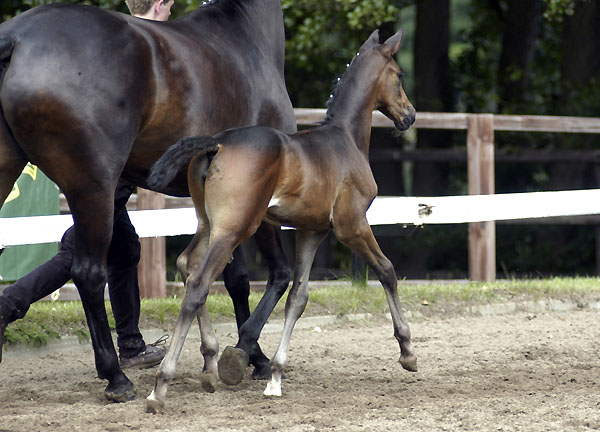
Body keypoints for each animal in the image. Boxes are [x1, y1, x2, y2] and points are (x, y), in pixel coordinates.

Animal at [0, 0, 296, 402]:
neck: (245, 39)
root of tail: (16, 37)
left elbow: (231, 278)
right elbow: (276, 274)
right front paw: (253, 356)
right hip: (93, 189)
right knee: (89, 274)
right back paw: (115, 378)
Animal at [145, 28, 418, 410]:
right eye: (399, 75)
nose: (410, 115)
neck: (345, 139)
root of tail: (217, 143)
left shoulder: (311, 231)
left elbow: (297, 298)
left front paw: (275, 375)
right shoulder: (352, 226)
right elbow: (387, 271)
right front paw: (407, 351)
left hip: (208, 224)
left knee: (187, 265)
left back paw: (211, 367)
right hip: (234, 228)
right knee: (198, 283)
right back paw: (161, 385)